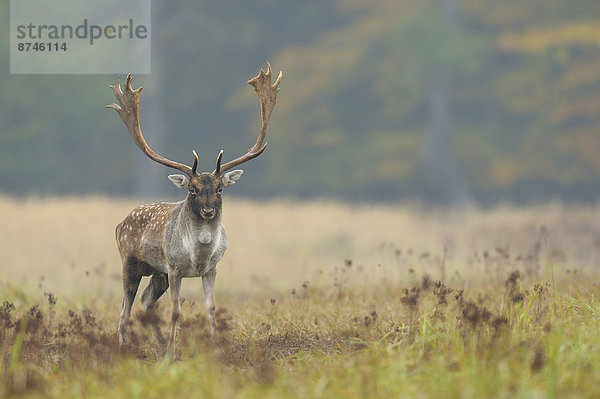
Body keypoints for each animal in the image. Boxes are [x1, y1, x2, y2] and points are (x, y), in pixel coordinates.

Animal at [106, 62, 282, 356]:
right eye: (192, 189)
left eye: (220, 189)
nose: (209, 211)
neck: (197, 256)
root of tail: (120, 224)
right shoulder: (175, 267)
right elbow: (176, 311)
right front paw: (174, 352)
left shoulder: (211, 269)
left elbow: (211, 309)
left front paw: (216, 349)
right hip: (130, 261)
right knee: (124, 308)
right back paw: (126, 348)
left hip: (158, 273)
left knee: (146, 301)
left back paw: (160, 347)